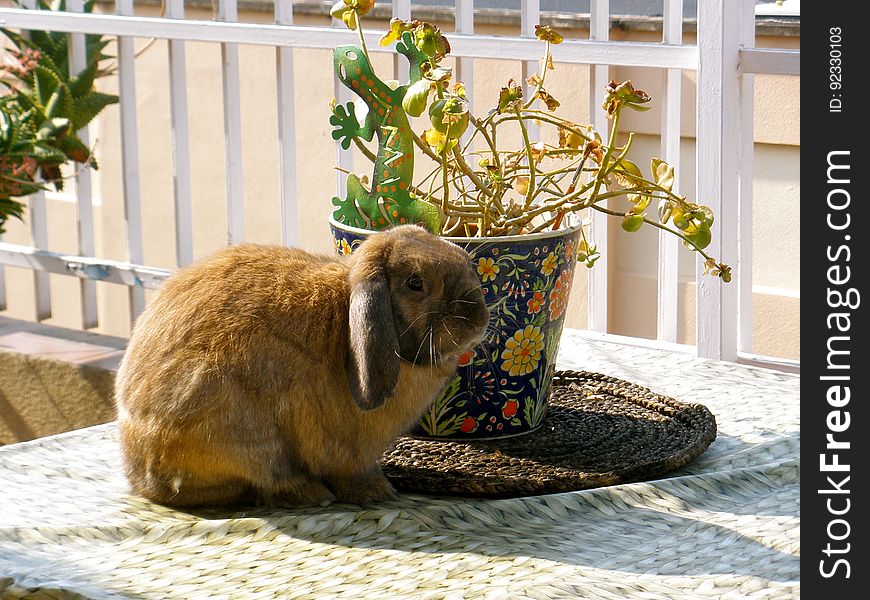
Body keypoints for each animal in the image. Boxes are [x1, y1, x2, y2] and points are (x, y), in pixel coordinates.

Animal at [115, 225, 490, 506]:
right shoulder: (343, 448)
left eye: (467, 260)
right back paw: (312, 493)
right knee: (270, 477)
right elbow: (347, 471)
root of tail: (141, 471)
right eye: (415, 283)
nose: (477, 319)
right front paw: (375, 490)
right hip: (240, 425)